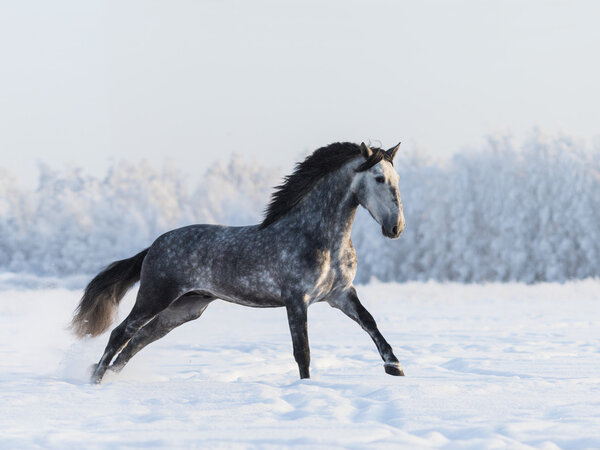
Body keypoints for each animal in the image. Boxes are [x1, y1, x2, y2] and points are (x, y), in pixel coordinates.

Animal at [71, 141, 408, 384]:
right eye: (379, 178)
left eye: (397, 179)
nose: (396, 228)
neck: (318, 238)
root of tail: (154, 245)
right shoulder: (296, 299)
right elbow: (303, 351)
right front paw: (306, 387)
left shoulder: (340, 294)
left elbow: (369, 322)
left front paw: (395, 366)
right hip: (155, 296)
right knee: (122, 333)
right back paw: (96, 380)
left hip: (185, 308)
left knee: (140, 339)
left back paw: (107, 377)